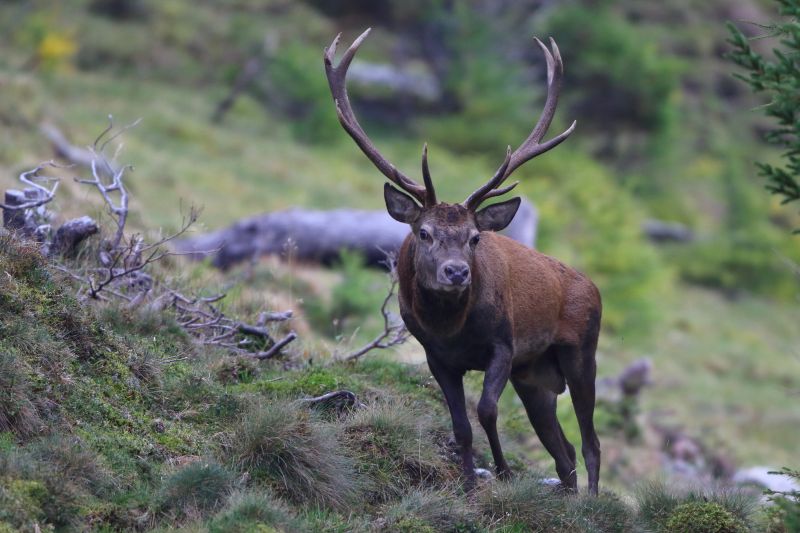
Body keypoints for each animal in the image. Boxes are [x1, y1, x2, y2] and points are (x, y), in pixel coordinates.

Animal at [324, 29, 601, 495]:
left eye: (474, 237)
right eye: (423, 232)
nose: (456, 272)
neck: (451, 329)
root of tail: (595, 288)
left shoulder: (504, 345)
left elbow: (487, 410)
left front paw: (503, 472)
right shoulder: (436, 356)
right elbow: (461, 425)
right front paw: (469, 481)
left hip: (581, 353)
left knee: (591, 443)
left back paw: (591, 501)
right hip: (536, 376)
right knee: (563, 450)